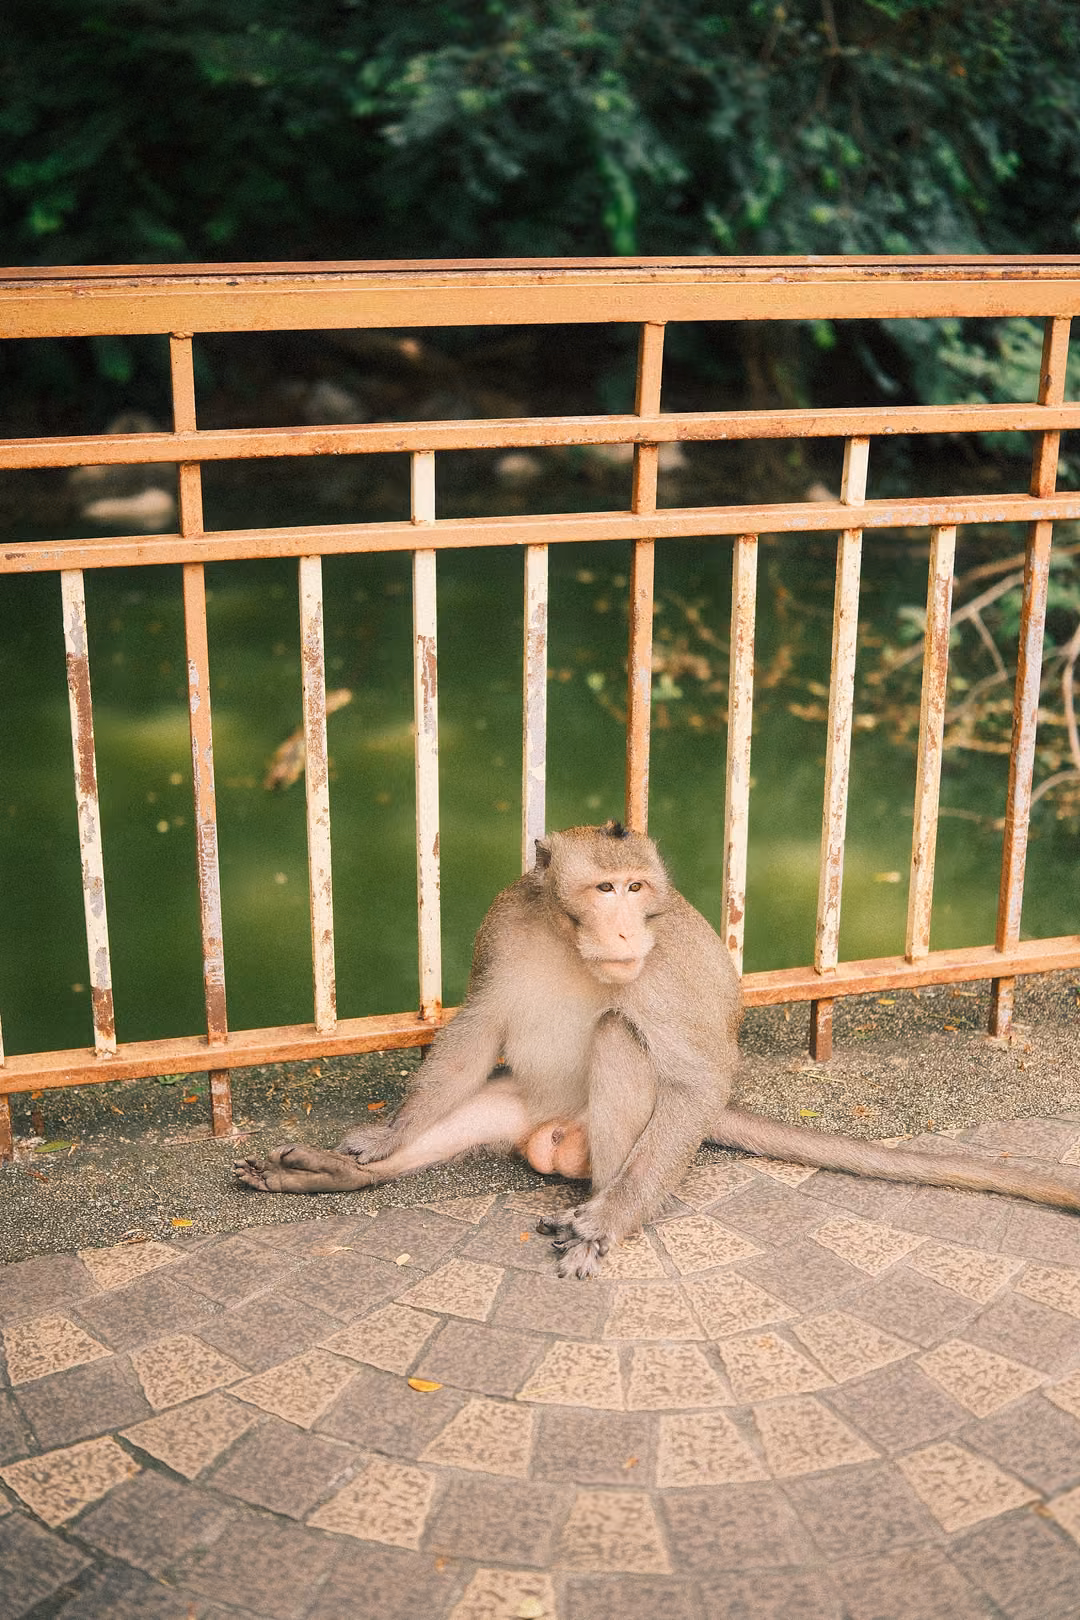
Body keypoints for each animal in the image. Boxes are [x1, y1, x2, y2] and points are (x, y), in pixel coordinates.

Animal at [235, 821, 1080, 1278]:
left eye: (638, 889)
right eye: (604, 889)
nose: (621, 930)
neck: (569, 941)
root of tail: (545, 1135)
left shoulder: (665, 961)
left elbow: (694, 1076)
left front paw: (608, 1225)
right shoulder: (503, 922)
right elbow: (478, 1025)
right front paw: (382, 1140)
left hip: (600, 1141)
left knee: (624, 1044)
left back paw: (601, 1212)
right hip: (512, 1107)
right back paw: (328, 1174)